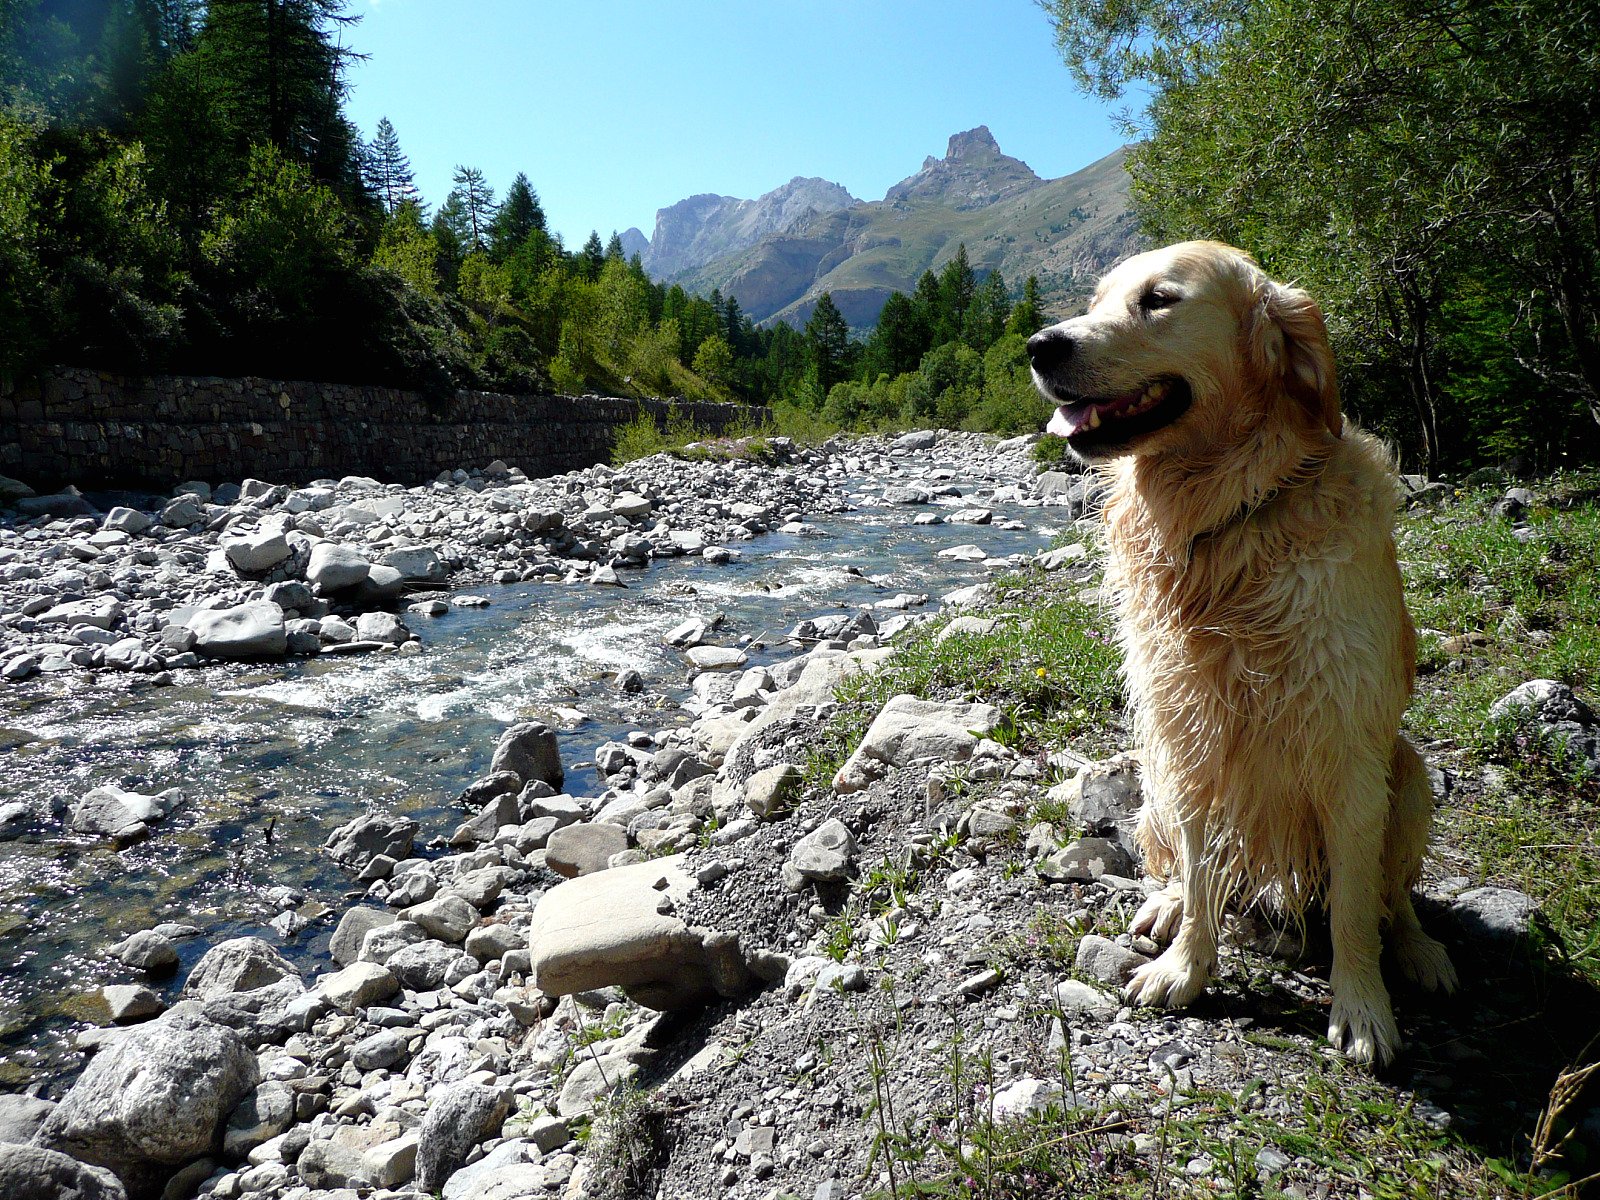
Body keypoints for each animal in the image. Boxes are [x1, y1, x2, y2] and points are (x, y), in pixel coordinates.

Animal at [1030, 240, 1459, 1068]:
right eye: (1097, 302)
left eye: (1158, 299)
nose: (1040, 345)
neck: (1226, 520)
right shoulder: (1192, 736)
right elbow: (1201, 875)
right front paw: (1186, 968)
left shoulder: (1347, 755)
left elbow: (1354, 909)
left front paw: (1362, 1007)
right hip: (1156, 775)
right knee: (1186, 866)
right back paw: (1164, 908)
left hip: (1410, 777)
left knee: (1393, 897)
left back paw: (1420, 951)